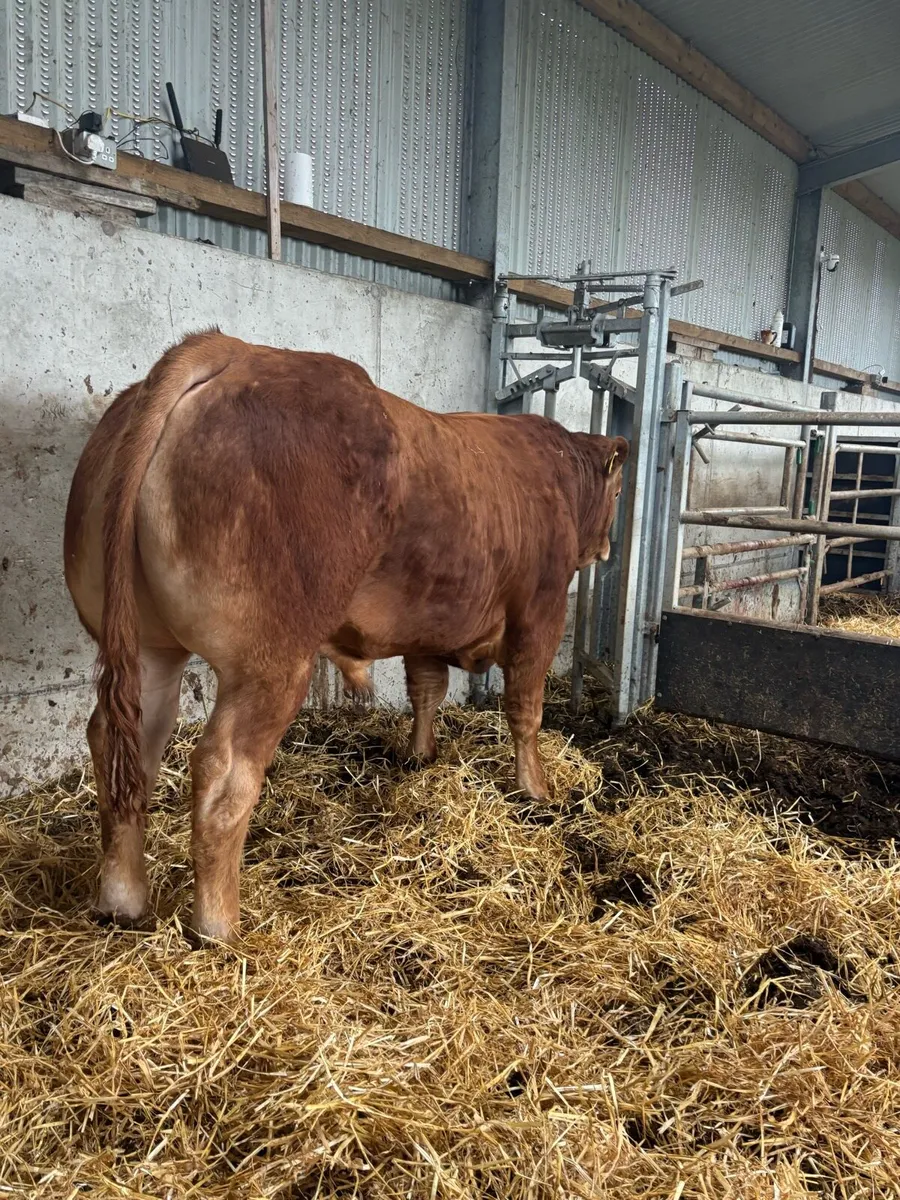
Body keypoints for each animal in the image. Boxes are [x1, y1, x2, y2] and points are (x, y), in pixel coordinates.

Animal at [64, 331, 628, 943]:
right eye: (621, 491)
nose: (607, 548)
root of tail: (227, 347)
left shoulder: (428, 623)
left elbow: (426, 689)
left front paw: (420, 757)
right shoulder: (541, 612)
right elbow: (526, 709)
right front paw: (536, 791)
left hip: (149, 647)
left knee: (123, 750)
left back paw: (121, 900)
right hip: (271, 660)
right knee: (223, 771)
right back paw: (220, 925)